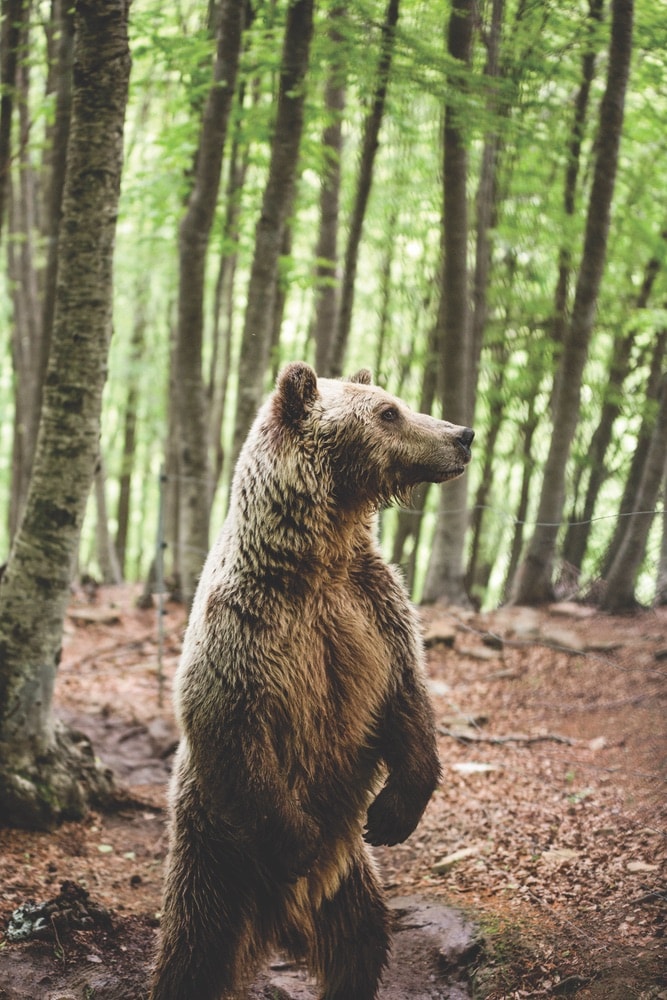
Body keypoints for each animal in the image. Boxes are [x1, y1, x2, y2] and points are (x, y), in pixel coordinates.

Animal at [151, 362, 474, 1000]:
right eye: (389, 412)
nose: (463, 435)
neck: (316, 559)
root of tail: (282, 915)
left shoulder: (375, 611)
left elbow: (408, 698)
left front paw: (394, 813)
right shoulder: (245, 627)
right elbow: (231, 722)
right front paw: (296, 840)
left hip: (351, 875)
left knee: (361, 938)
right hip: (213, 851)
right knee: (195, 950)